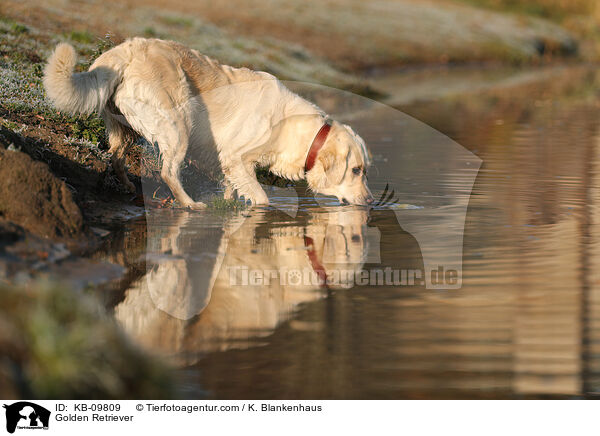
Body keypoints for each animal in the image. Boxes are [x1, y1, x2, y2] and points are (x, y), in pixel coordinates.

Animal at [43, 37, 370, 208]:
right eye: (356, 170)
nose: (369, 201)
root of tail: (124, 51)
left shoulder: (231, 165)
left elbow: (232, 189)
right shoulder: (237, 158)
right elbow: (262, 198)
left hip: (124, 128)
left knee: (116, 158)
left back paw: (126, 187)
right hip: (178, 122)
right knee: (168, 172)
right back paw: (189, 204)